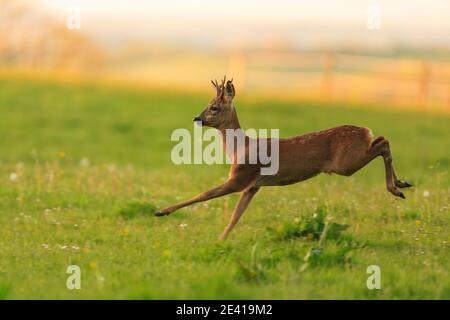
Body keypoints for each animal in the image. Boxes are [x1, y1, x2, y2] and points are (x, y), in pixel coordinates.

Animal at [155, 76, 412, 239]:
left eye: (215, 108)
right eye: (208, 104)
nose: (197, 118)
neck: (239, 148)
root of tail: (365, 130)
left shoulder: (240, 177)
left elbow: (204, 194)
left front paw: (162, 211)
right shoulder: (252, 186)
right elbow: (236, 216)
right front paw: (221, 240)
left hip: (346, 162)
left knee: (382, 142)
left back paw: (396, 187)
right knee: (383, 141)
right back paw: (402, 184)